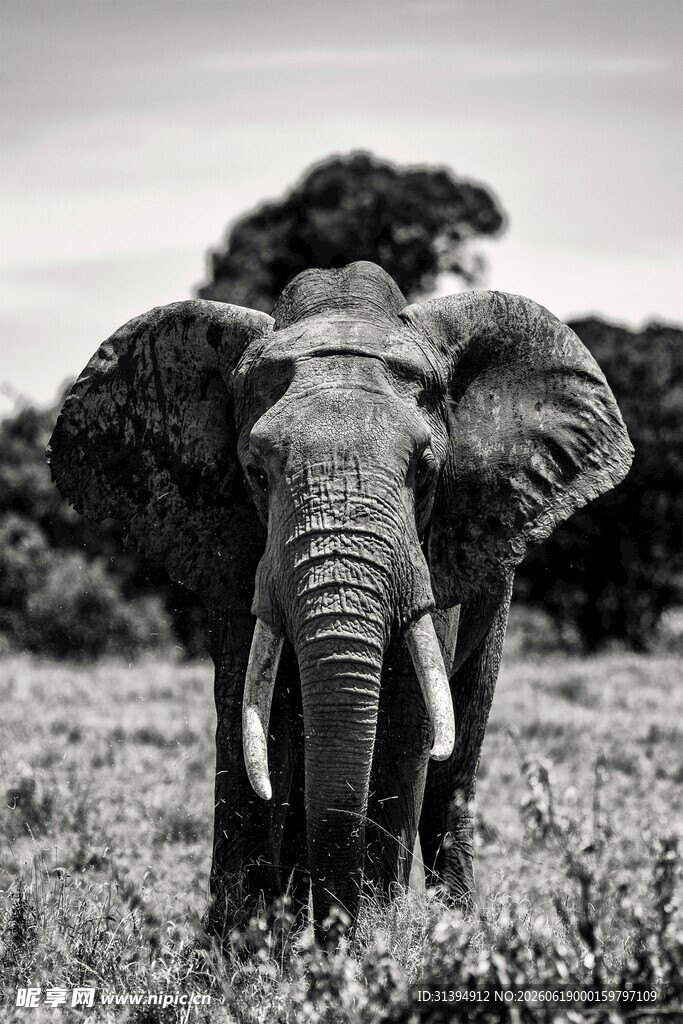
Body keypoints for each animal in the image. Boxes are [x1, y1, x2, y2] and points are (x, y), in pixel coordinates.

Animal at [47, 261, 633, 940]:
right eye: (256, 474)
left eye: (425, 471)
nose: (335, 930)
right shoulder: (238, 547)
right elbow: (251, 710)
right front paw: (243, 940)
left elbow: (407, 714)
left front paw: (374, 938)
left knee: (458, 753)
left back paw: (456, 926)